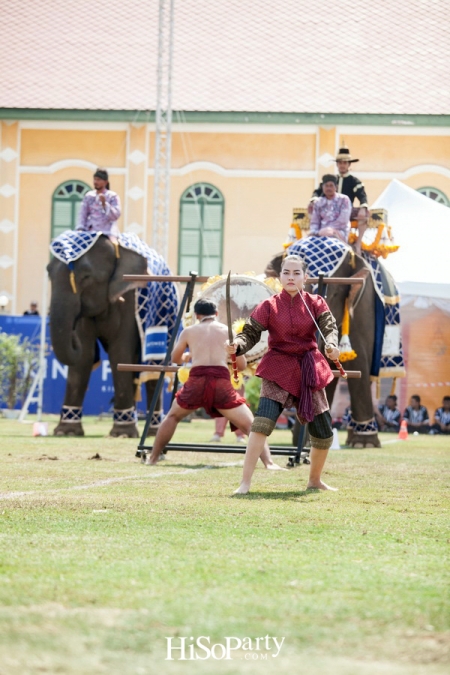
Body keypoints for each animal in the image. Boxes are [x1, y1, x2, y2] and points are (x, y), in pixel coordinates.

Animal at [47, 235, 178, 440]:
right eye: (48, 273)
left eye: (86, 276)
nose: (73, 327)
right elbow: (84, 357)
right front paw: (66, 432)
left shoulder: (129, 298)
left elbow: (119, 353)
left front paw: (122, 434)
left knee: (154, 369)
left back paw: (151, 432)